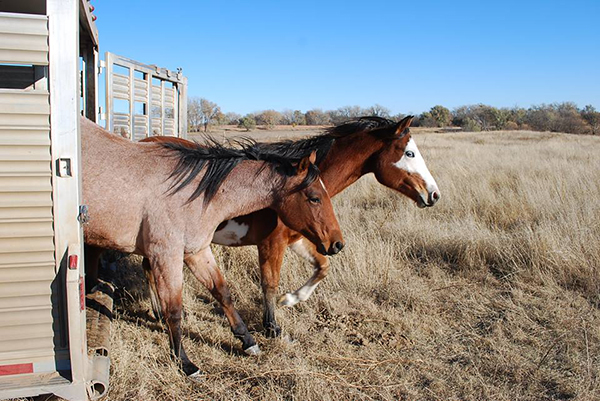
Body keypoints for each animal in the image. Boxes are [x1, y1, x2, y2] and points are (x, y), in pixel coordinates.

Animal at [81, 117, 342, 376]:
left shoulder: (197, 251)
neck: (192, 192)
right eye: (314, 197)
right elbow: (174, 310)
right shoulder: (167, 256)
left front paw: (248, 341)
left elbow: (222, 292)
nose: (337, 243)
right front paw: (185, 362)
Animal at [142, 115, 440, 338]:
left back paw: (158, 313)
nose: (433, 194)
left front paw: (292, 299)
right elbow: (269, 283)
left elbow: (322, 267)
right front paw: (272, 327)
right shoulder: (271, 243)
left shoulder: (300, 238)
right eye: (409, 153)